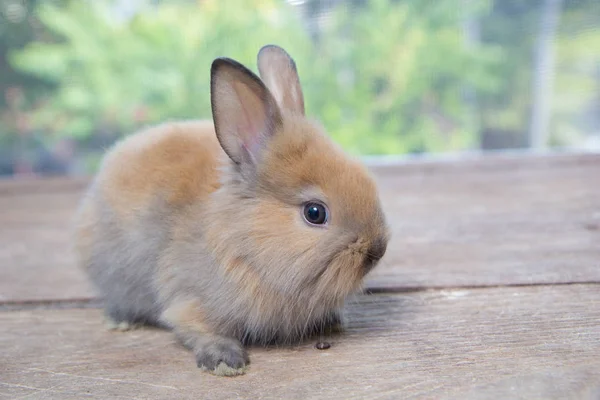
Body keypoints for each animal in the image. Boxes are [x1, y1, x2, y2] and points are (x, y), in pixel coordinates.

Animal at [72, 43, 390, 376]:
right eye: (315, 213)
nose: (377, 249)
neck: (244, 243)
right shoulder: (189, 300)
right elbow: (196, 328)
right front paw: (226, 362)